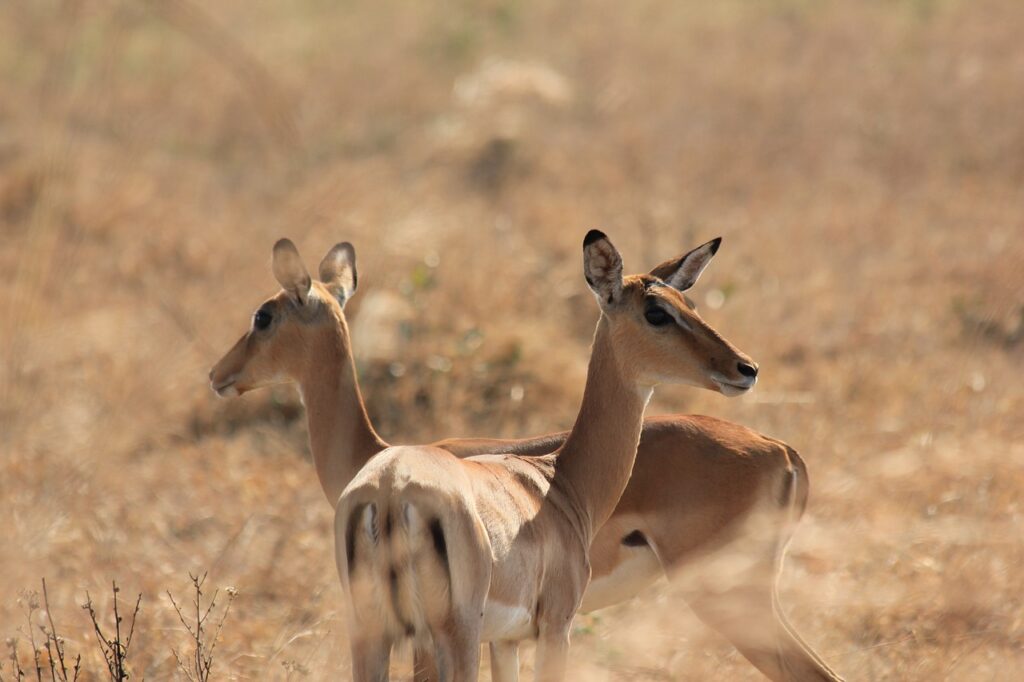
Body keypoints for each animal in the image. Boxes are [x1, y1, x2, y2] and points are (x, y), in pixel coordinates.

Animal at [209, 235, 843, 682]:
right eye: (659, 311)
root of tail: (782, 450)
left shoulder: (531, 631)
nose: (745, 367)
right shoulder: (511, 637)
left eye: (262, 316)